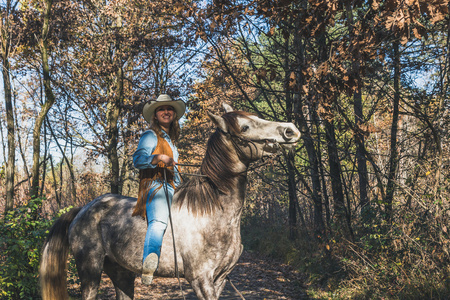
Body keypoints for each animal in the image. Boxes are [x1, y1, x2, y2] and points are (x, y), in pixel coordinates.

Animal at [40, 103, 300, 300]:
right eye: (245, 127)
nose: (291, 130)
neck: (213, 212)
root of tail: (83, 210)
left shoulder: (220, 280)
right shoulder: (200, 280)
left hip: (121, 272)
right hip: (90, 271)